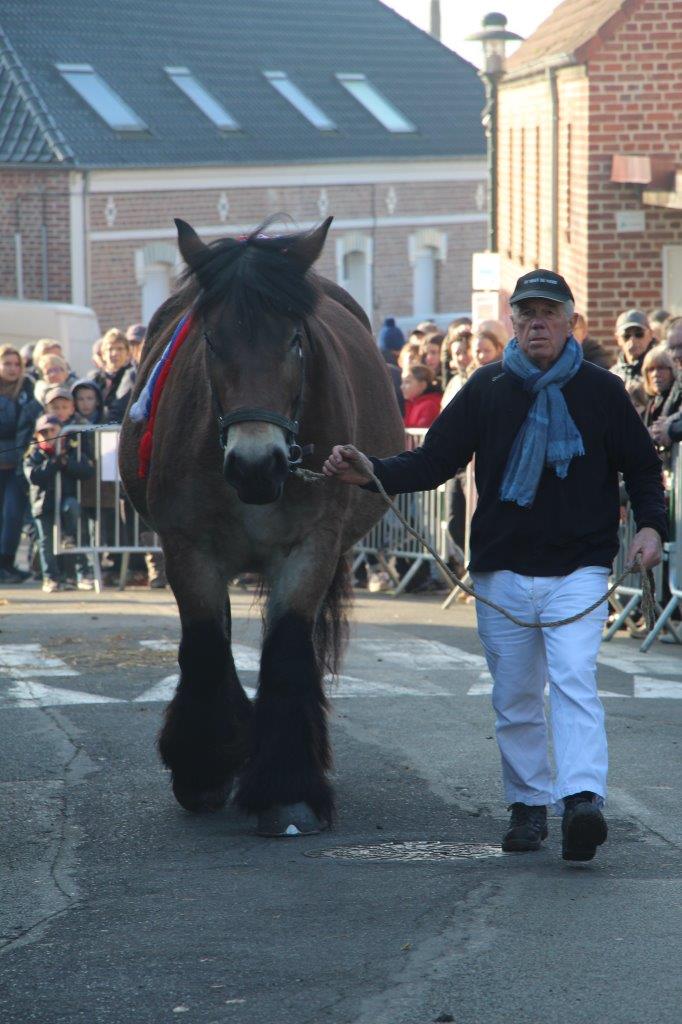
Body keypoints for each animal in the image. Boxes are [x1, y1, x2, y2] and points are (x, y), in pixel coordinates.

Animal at [118, 220, 403, 835]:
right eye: (211, 341)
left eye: (294, 339)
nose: (255, 465)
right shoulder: (189, 551)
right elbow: (206, 644)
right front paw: (204, 766)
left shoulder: (310, 548)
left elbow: (289, 650)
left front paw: (286, 789)